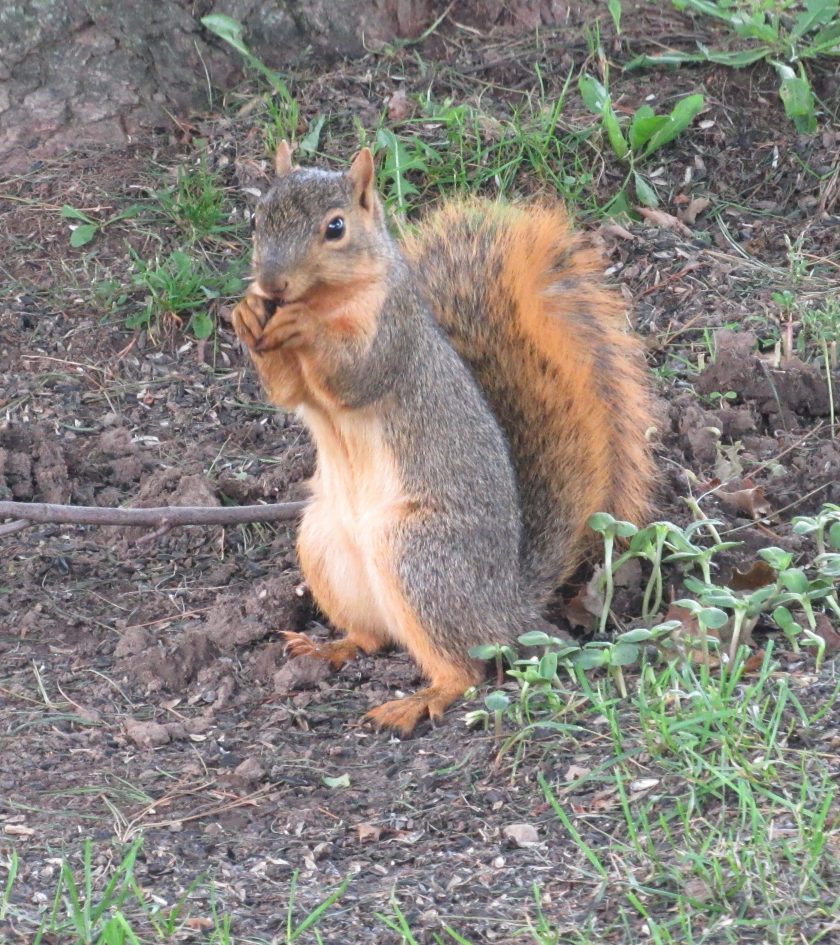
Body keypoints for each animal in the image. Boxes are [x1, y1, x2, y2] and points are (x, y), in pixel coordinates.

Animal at [232, 140, 654, 736]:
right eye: (256, 218)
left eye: (335, 227)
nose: (271, 284)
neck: (324, 300)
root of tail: (505, 605)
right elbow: (286, 391)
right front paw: (247, 313)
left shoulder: (393, 335)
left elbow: (354, 377)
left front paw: (303, 330)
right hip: (323, 544)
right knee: (374, 637)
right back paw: (329, 649)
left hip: (420, 554)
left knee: (464, 667)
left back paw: (418, 700)